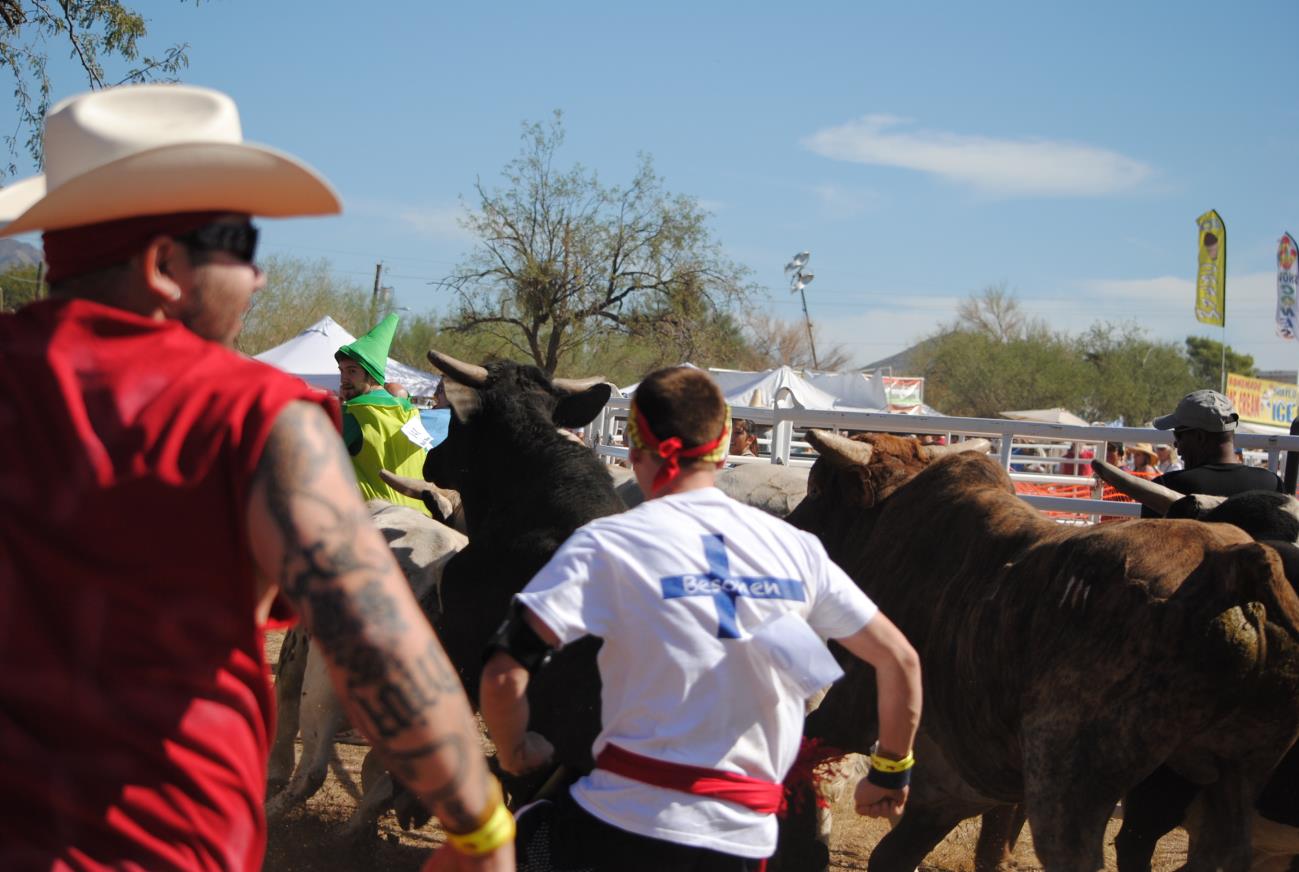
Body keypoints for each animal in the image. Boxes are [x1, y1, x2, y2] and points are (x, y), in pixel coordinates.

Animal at [784, 434, 1299, 872]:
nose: (791, 530)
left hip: (1068, 783)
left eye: (819, 487)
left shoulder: (856, 711)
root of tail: (1234, 567)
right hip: (1236, 771)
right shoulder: (954, 781)